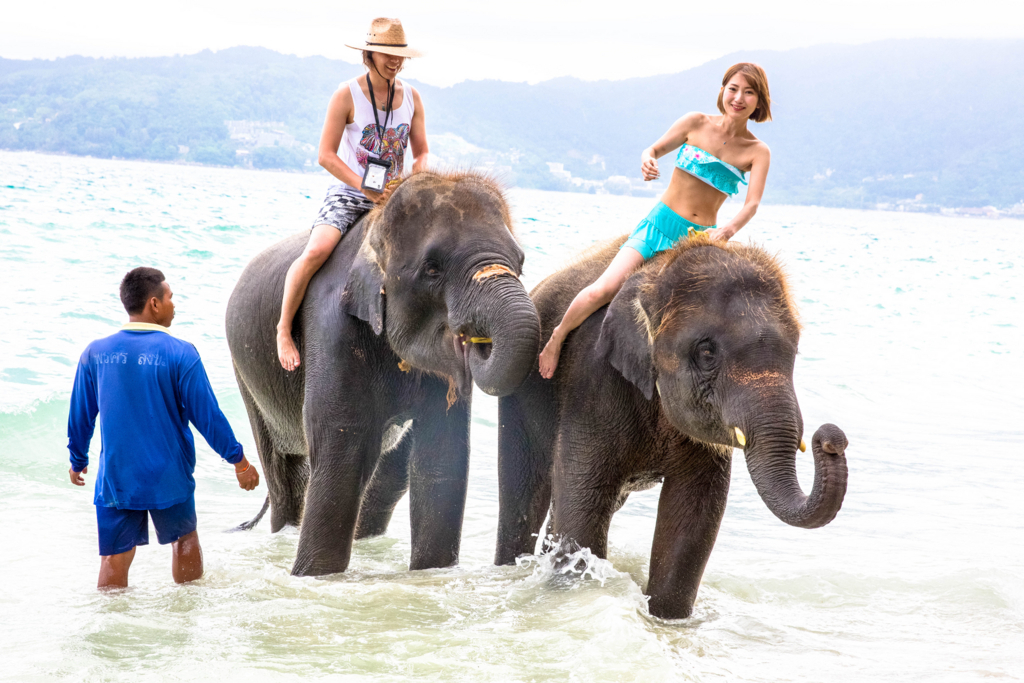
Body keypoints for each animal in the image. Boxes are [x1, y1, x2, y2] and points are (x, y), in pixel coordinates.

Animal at [227, 170, 540, 576]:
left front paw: (430, 572)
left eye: (520, 262)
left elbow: (443, 455)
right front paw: (315, 575)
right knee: (285, 475)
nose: (477, 340)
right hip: (247, 372)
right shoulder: (331, 329)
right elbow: (343, 454)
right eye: (432, 269)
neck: (373, 231)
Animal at [494, 233, 849, 619]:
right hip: (522, 389)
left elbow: (695, 514)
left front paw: (666, 617)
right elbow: (584, 503)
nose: (832, 439)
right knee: (524, 488)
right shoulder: (591, 382)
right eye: (707, 353)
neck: (656, 273)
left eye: (795, 351)